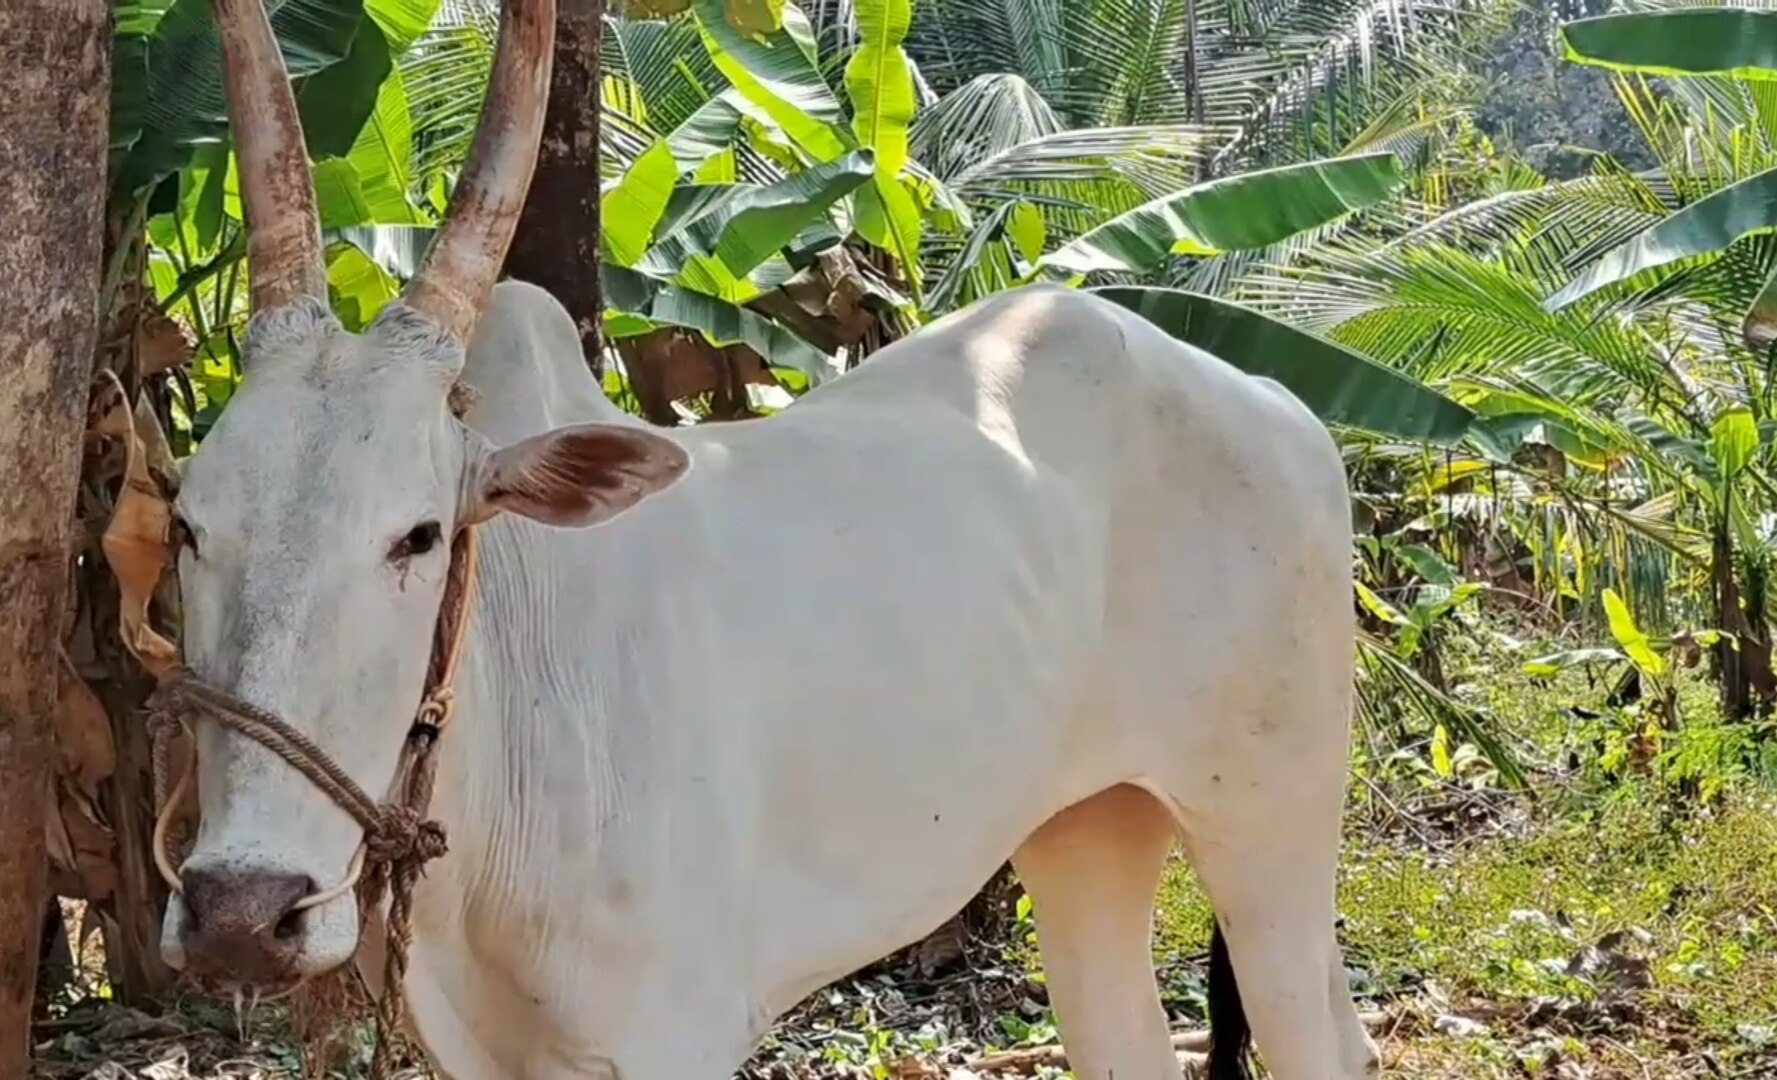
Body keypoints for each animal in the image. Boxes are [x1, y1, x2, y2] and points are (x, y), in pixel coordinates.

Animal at [159, 0, 1371, 1072]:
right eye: (186, 524)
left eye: (415, 534)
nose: (241, 912)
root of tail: (1274, 402)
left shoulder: (667, 1038)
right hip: (1085, 827)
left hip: (1272, 819)